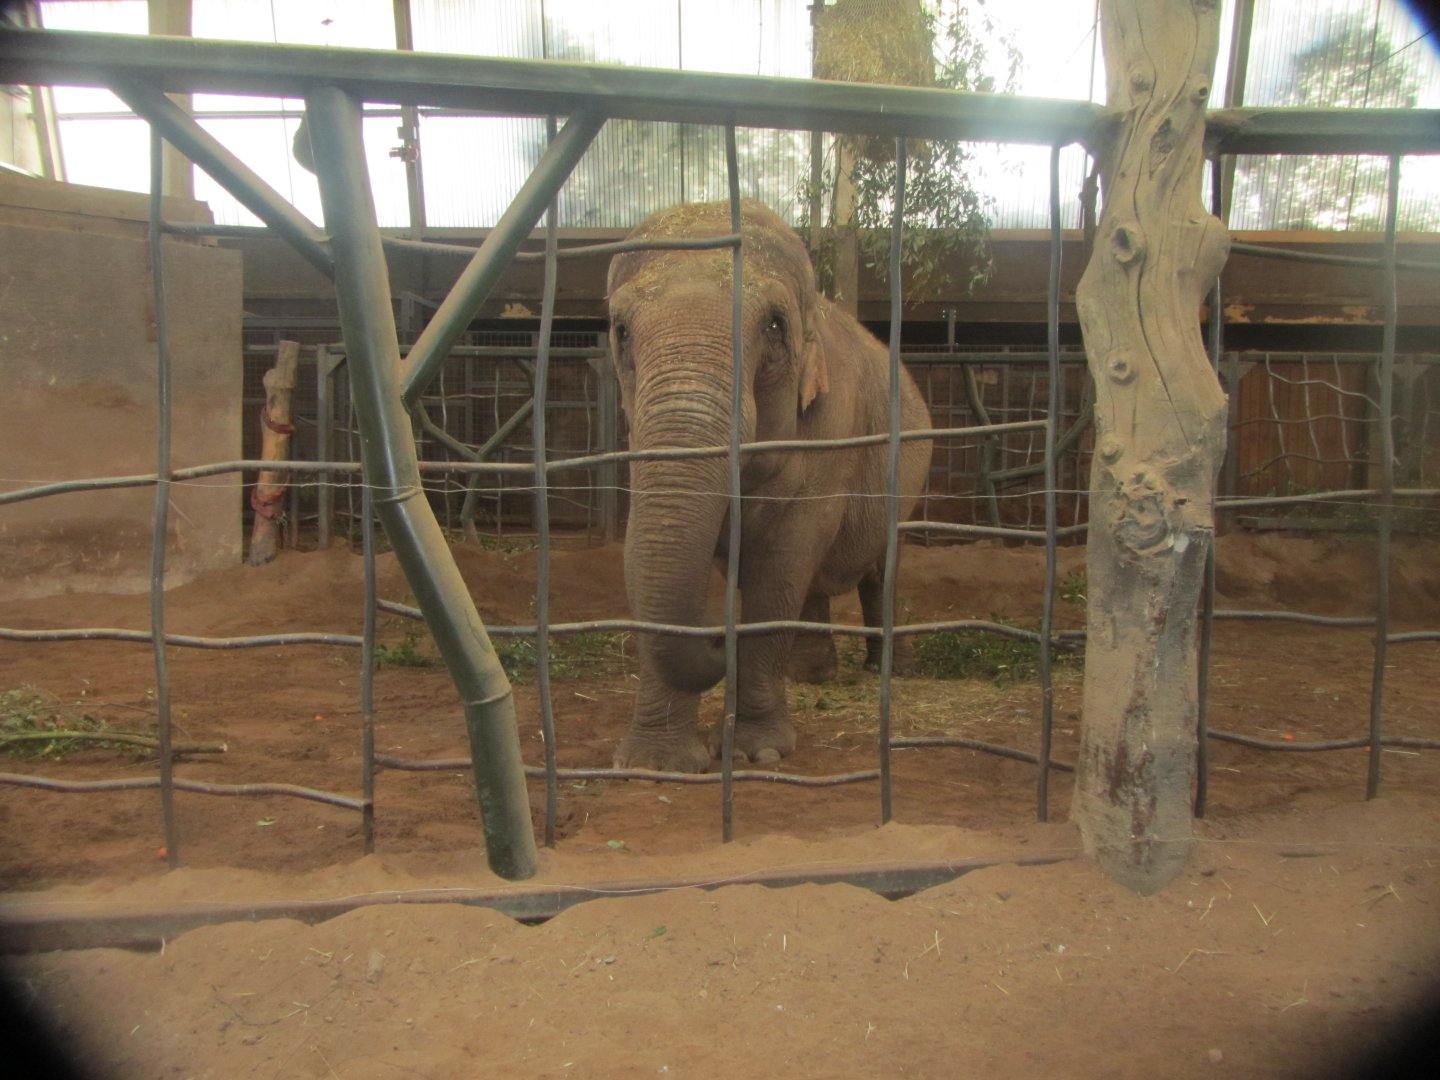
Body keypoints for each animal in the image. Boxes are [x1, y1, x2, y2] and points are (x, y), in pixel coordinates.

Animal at [607, 200, 933, 772]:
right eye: (621, 330)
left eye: (775, 326)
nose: (719, 635)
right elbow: (642, 554)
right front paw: (654, 764)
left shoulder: (833, 429)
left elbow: (782, 562)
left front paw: (757, 752)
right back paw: (813, 674)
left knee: (880, 569)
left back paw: (888, 669)